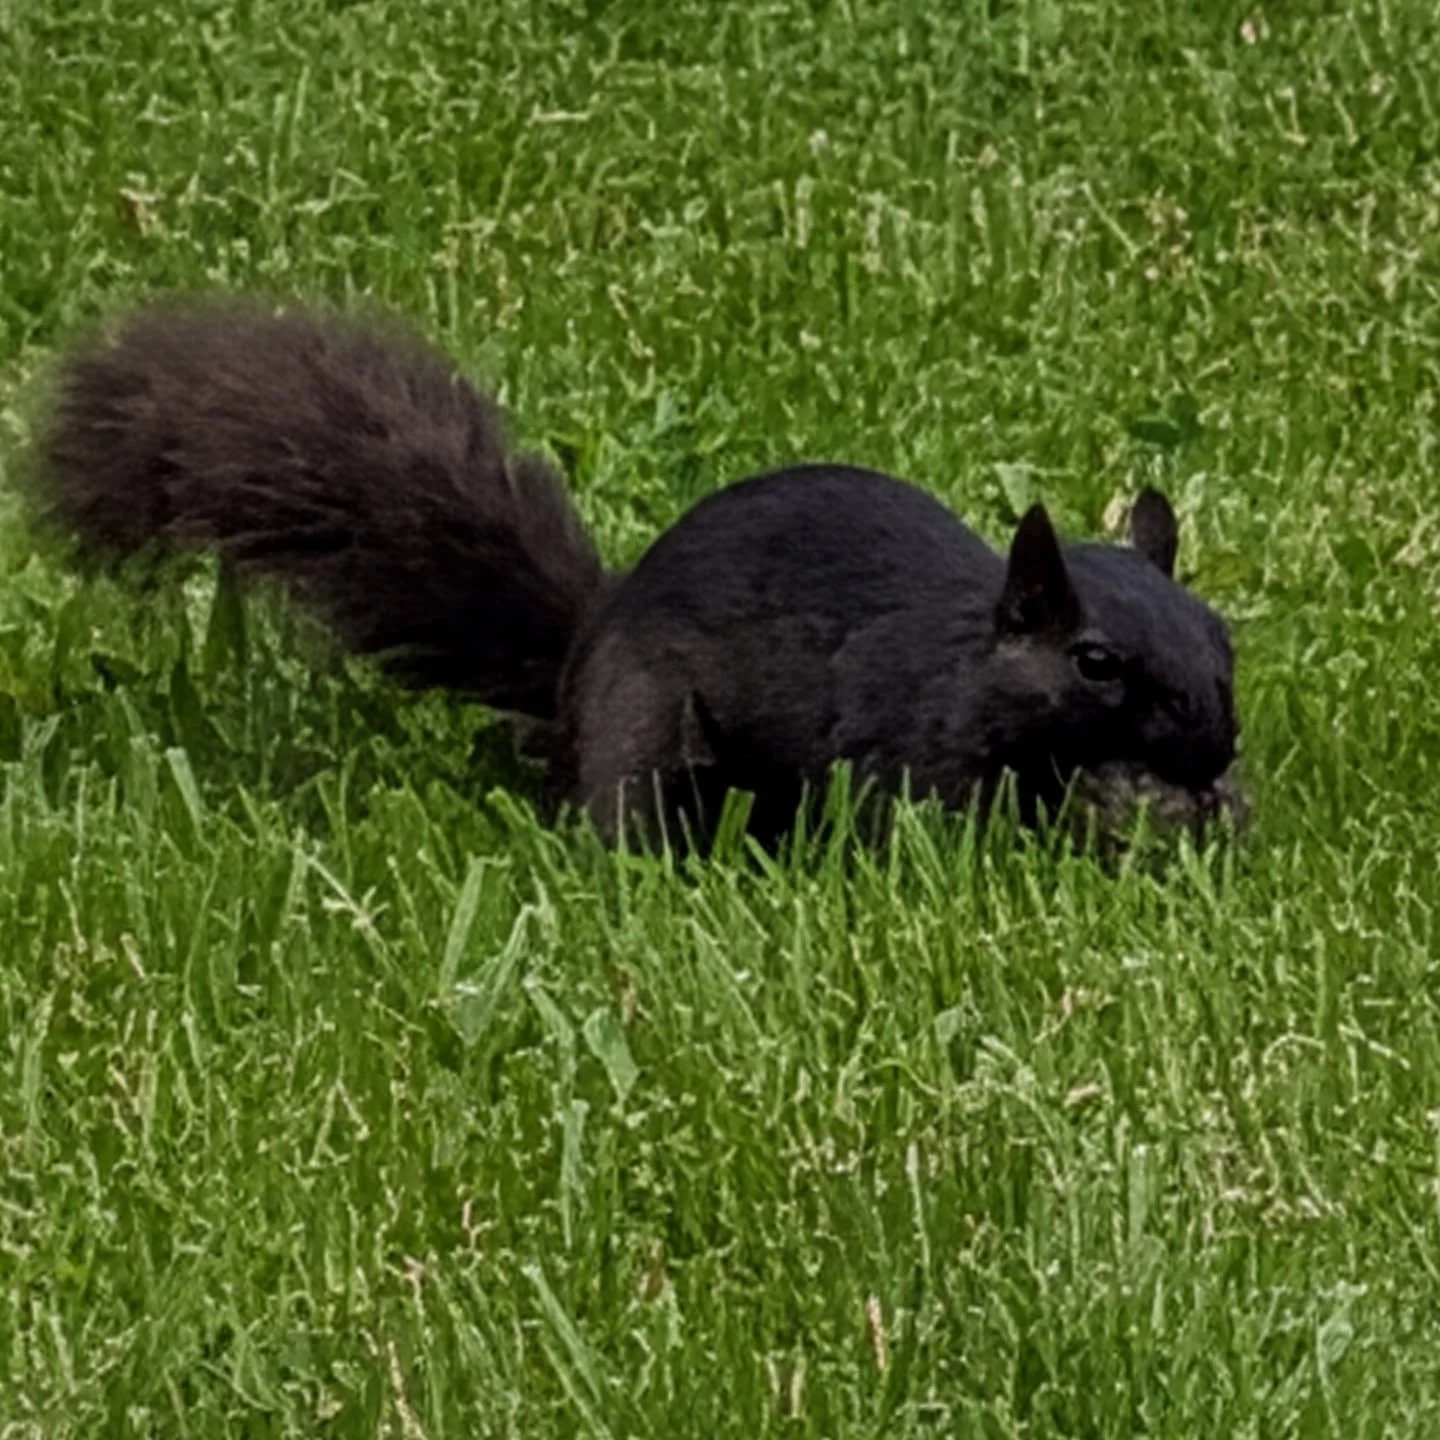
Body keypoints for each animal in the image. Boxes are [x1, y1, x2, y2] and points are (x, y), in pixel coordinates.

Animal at [31, 296, 1244, 853]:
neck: (967, 664)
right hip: (646, 728)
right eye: (1095, 663)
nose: (1216, 751)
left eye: (1223, 636)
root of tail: (578, 660)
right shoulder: (900, 739)